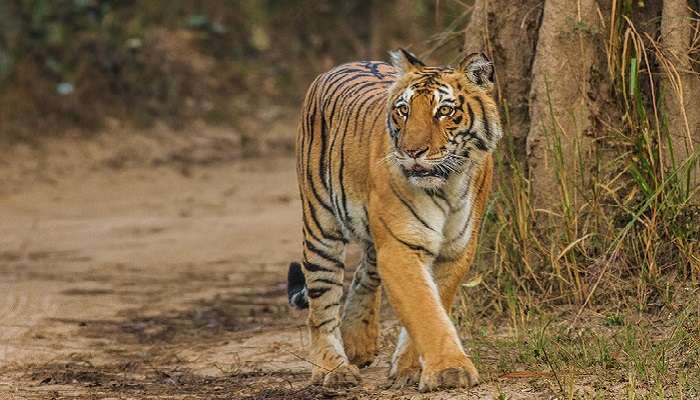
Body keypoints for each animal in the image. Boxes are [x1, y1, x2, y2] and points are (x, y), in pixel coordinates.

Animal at [288, 49, 500, 390]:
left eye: (444, 111)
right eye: (404, 110)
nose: (412, 151)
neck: (448, 185)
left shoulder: (456, 250)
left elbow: (435, 303)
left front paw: (410, 368)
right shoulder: (401, 247)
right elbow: (424, 309)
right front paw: (449, 370)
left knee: (364, 272)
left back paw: (357, 341)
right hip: (321, 225)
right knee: (321, 304)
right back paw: (333, 369)